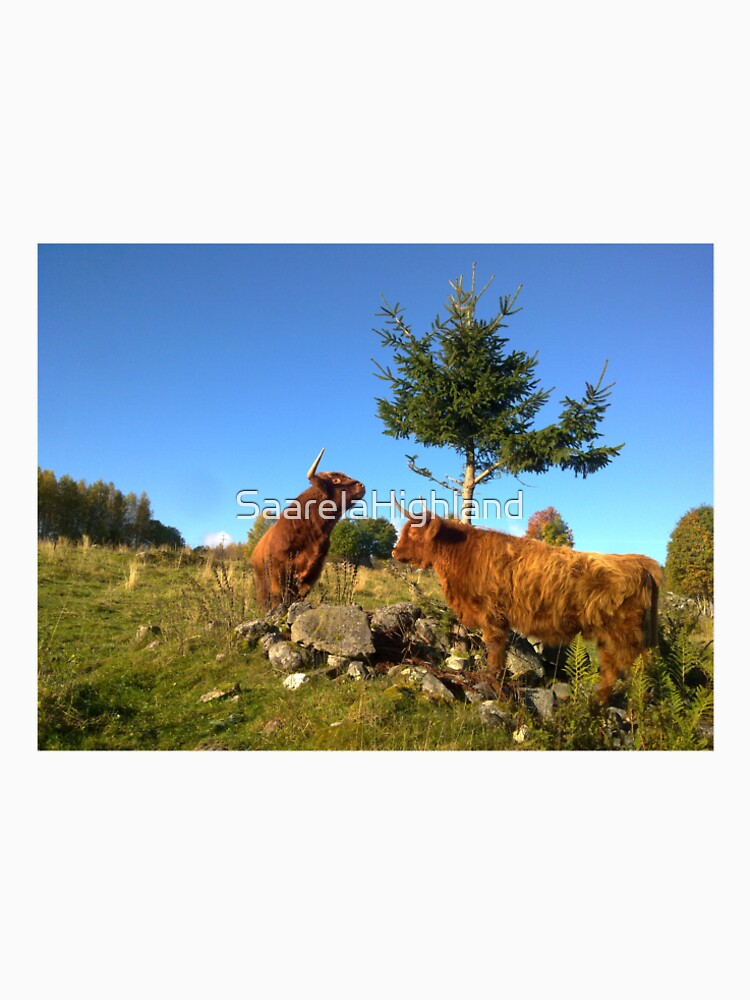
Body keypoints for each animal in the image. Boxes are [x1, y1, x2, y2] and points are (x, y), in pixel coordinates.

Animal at [251, 448, 365, 612]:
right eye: (336, 480)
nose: (362, 485)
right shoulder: (278, 572)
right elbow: (279, 597)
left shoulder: (314, 570)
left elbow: (299, 595)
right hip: (262, 582)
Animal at [391, 504, 662, 703]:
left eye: (413, 533)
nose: (394, 552)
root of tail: (638, 561)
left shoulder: (493, 616)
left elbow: (495, 650)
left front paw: (492, 680)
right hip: (611, 638)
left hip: (622, 635)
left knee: (629, 670)